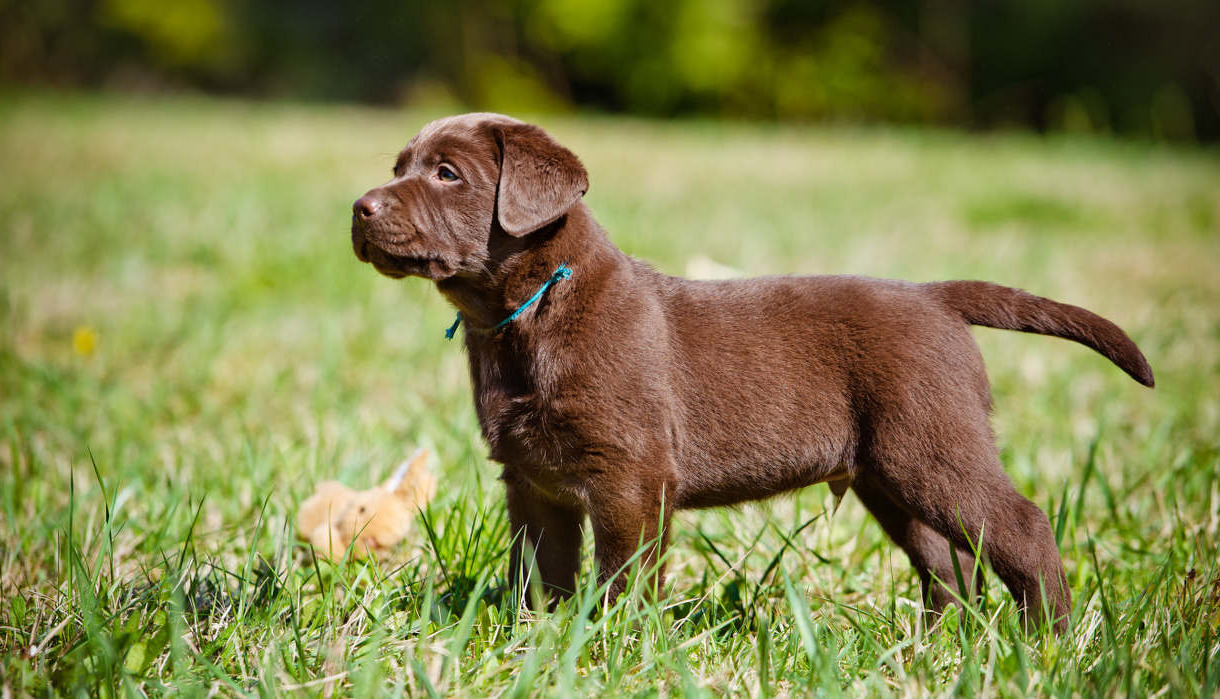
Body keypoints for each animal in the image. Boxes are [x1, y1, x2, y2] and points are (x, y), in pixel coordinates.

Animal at [351, 112, 1151, 624]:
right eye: (398, 168)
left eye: (447, 173)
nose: (359, 207)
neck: (533, 309)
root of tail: (935, 295)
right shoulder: (531, 480)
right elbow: (539, 575)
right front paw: (535, 642)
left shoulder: (630, 475)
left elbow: (622, 577)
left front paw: (612, 646)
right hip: (888, 474)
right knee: (949, 563)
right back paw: (940, 647)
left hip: (932, 445)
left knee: (1023, 526)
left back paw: (1047, 641)